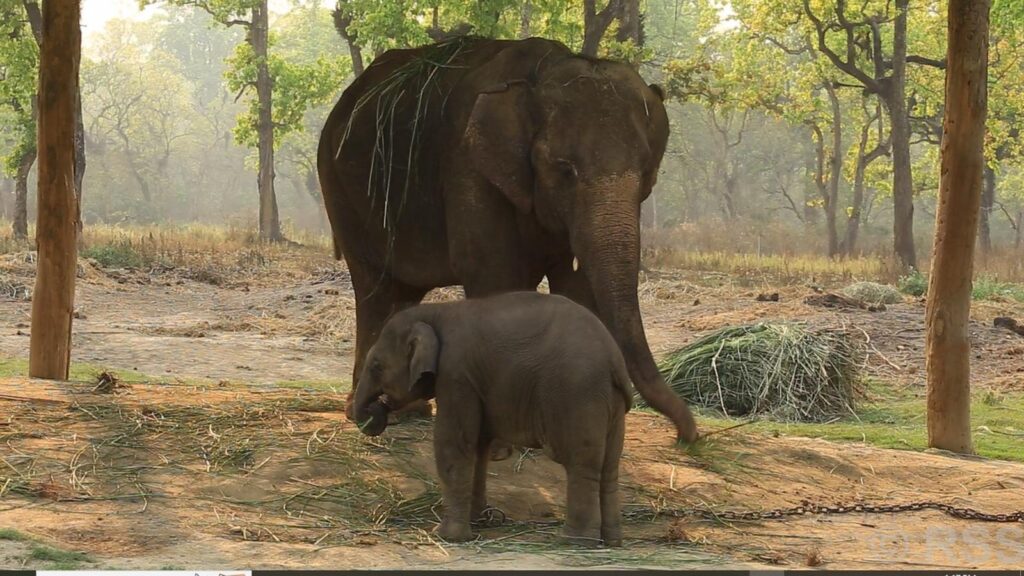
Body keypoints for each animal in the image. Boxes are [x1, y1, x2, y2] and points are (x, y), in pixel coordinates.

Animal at [317, 34, 704, 438]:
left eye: (646, 173)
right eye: (565, 169)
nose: (688, 436)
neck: (540, 73)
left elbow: (579, 287)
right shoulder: (469, 168)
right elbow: (495, 274)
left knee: (404, 291)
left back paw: (406, 410)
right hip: (338, 187)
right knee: (373, 285)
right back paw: (368, 415)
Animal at [350, 291, 630, 541]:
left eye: (376, 366)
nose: (378, 409)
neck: (435, 312)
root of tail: (613, 356)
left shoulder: (456, 375)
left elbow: (453, 443)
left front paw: (446, 536)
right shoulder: (474, 382)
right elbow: (478, 447)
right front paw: (479, 522)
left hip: (577, 394)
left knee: (580, 462)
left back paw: (575, 541)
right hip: (610, 401)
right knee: (609, 466)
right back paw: (611, 540)